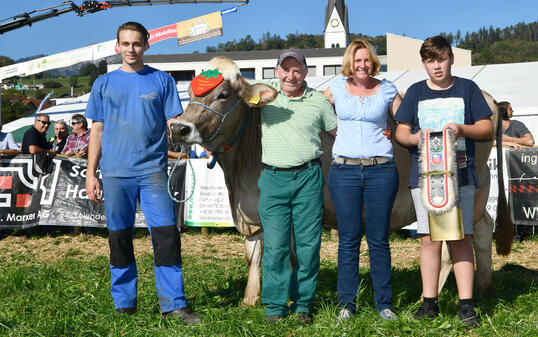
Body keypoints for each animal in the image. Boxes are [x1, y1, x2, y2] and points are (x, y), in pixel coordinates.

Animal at [169, 57, 510, 304]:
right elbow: (253, 254)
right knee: (482, 229)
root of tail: (491, 99)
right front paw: (249, 301)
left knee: (460, 240)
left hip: (463, 192)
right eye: (190, 95)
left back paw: (437, 294)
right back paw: (484, 287)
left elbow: (287, 254)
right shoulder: (250, 210)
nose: (178, 128)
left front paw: (289, 299)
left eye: (224, 94)